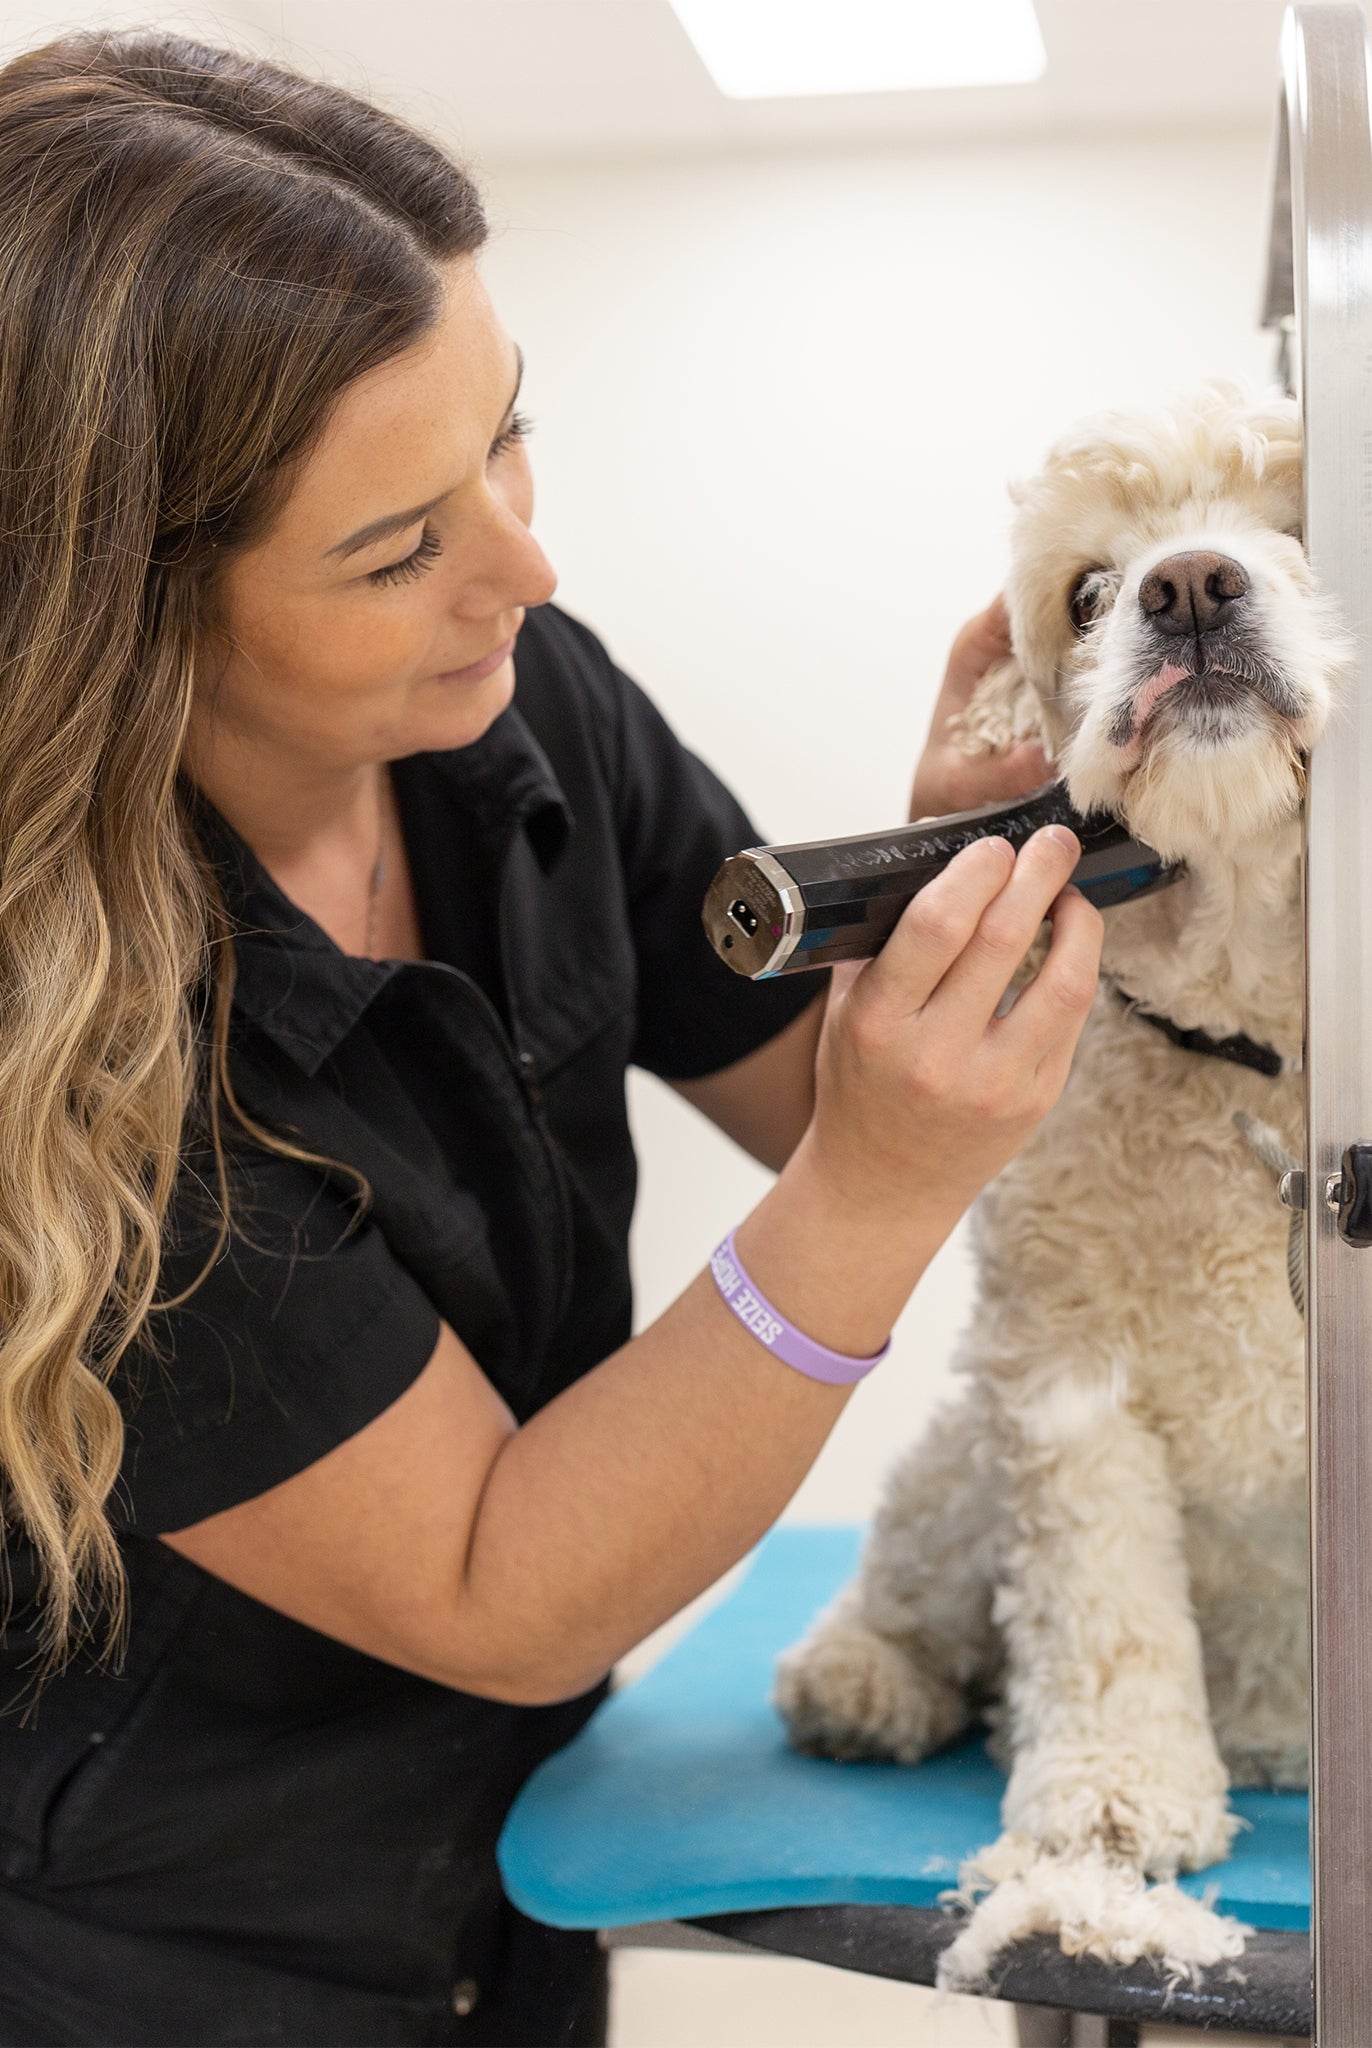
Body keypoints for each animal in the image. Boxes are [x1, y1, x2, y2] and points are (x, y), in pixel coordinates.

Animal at [773, 383, 1350, 1980]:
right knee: (924, 1577)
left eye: (1303, 527)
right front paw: (1109, 1804)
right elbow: (1103, 1616)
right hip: (961, 1454)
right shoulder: (1065, 1383)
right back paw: (861, 1680)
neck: (1247, 1062)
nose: (1190, 586)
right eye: (1087, 594)